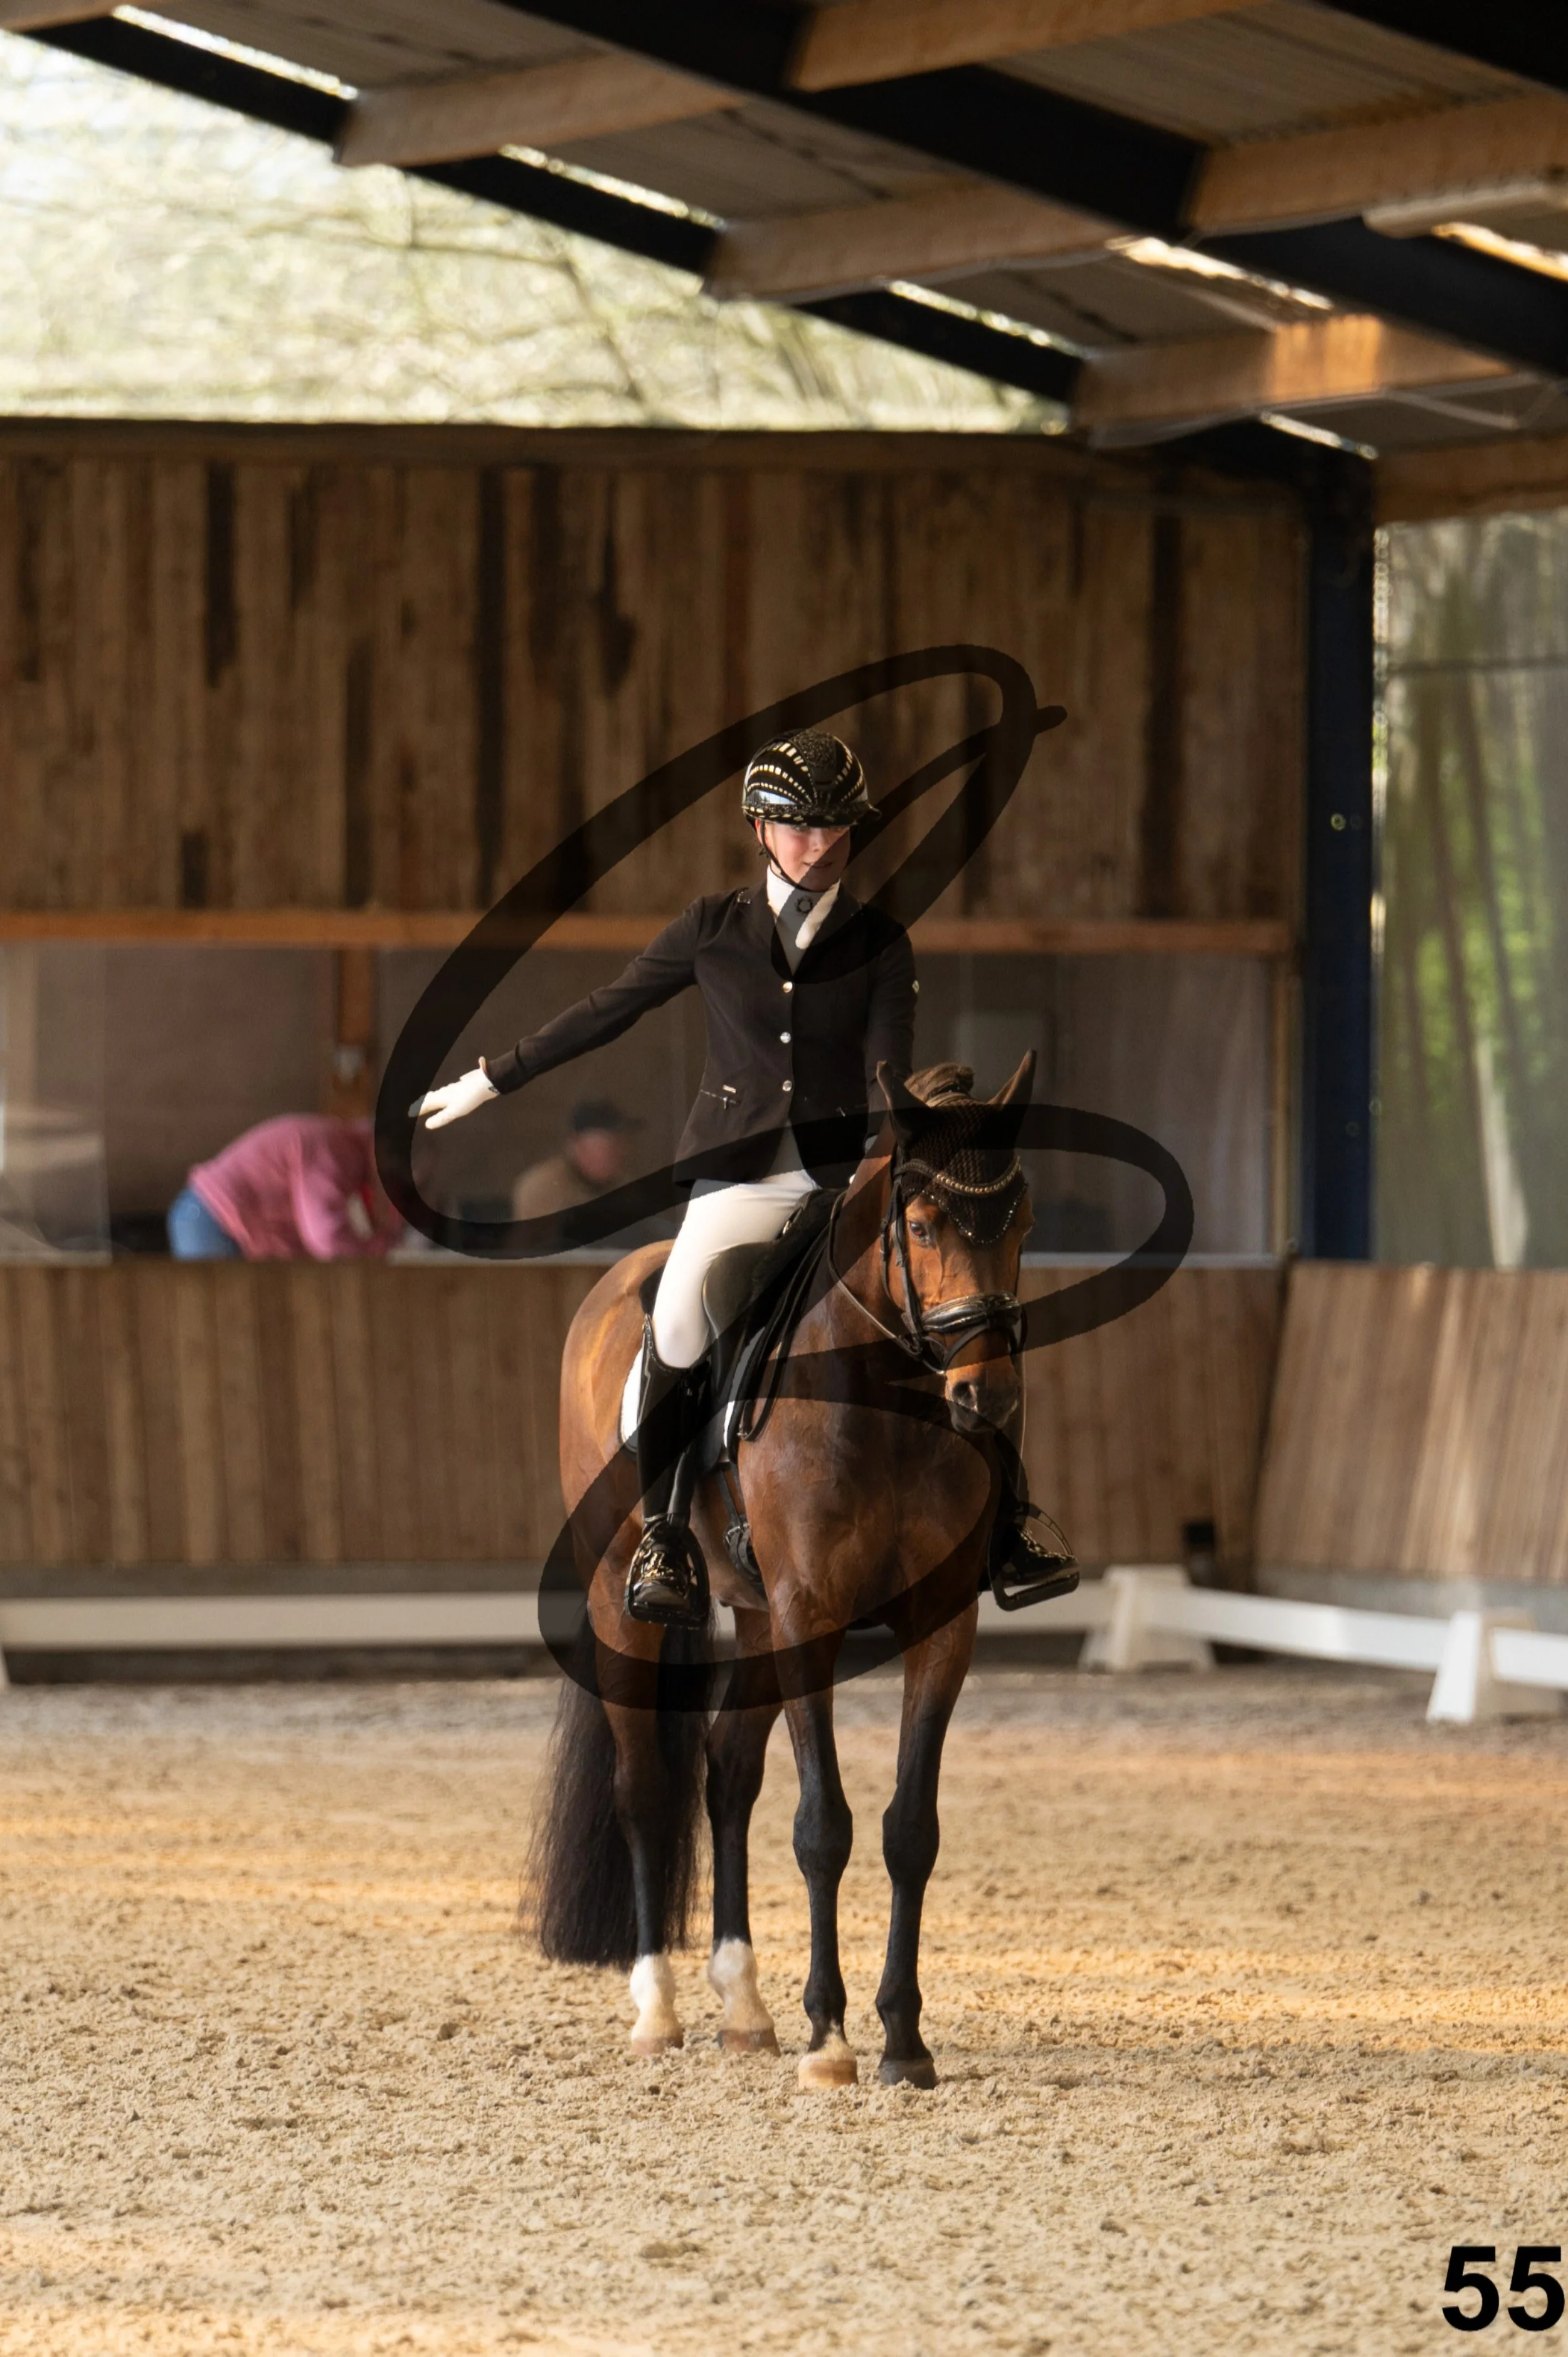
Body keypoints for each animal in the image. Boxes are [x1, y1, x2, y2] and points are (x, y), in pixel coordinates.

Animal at [528, 1054, 1037, 2089]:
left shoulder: (940, 1622)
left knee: (726, 1773)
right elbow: (821, 1825)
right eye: (922, 1224)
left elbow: (908, 1828)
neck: (883, 1394)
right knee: (647, 1787)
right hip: (626, 1603)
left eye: (1024, 1220)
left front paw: (903, 2039)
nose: (987, 1396)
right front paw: (830, 2037)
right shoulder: (813, 1615)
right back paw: (658, 2008)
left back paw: (744, 2006)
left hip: (757, 1615)